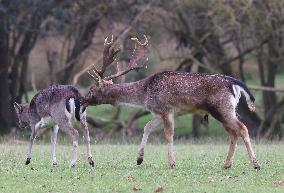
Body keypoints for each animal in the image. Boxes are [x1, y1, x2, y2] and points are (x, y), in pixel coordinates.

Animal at [83, 34, 260, 169]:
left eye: (92, 89)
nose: (83, 100)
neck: (145, 93)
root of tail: (234, 83)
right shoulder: (161, 112)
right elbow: (147, 127)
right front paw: (139, 159)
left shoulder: (166, 109)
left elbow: (168, 135)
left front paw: (171, 163)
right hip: (227, 110)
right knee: (233, 133)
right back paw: (227, 164)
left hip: (222, 108)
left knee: (242, 128)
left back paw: (255, 164)